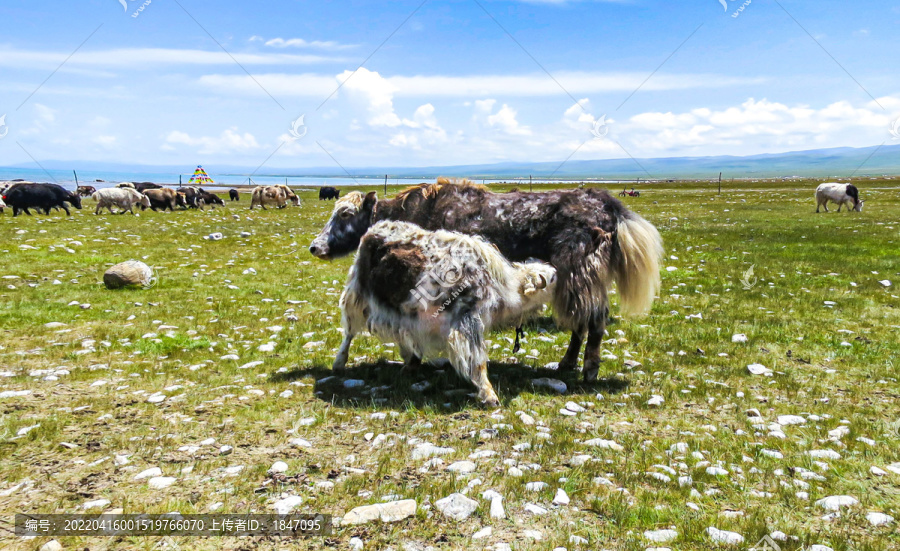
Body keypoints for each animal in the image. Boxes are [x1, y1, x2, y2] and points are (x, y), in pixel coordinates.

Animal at [336, 222, 556, 408]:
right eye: (551, 278)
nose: (556, 271)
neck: (502, 287)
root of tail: (372, 230)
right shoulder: (468, 321)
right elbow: (478, 361)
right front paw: (490, 396)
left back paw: (408, 363)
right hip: (357, 297)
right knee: (349, 332)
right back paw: (339, 362)